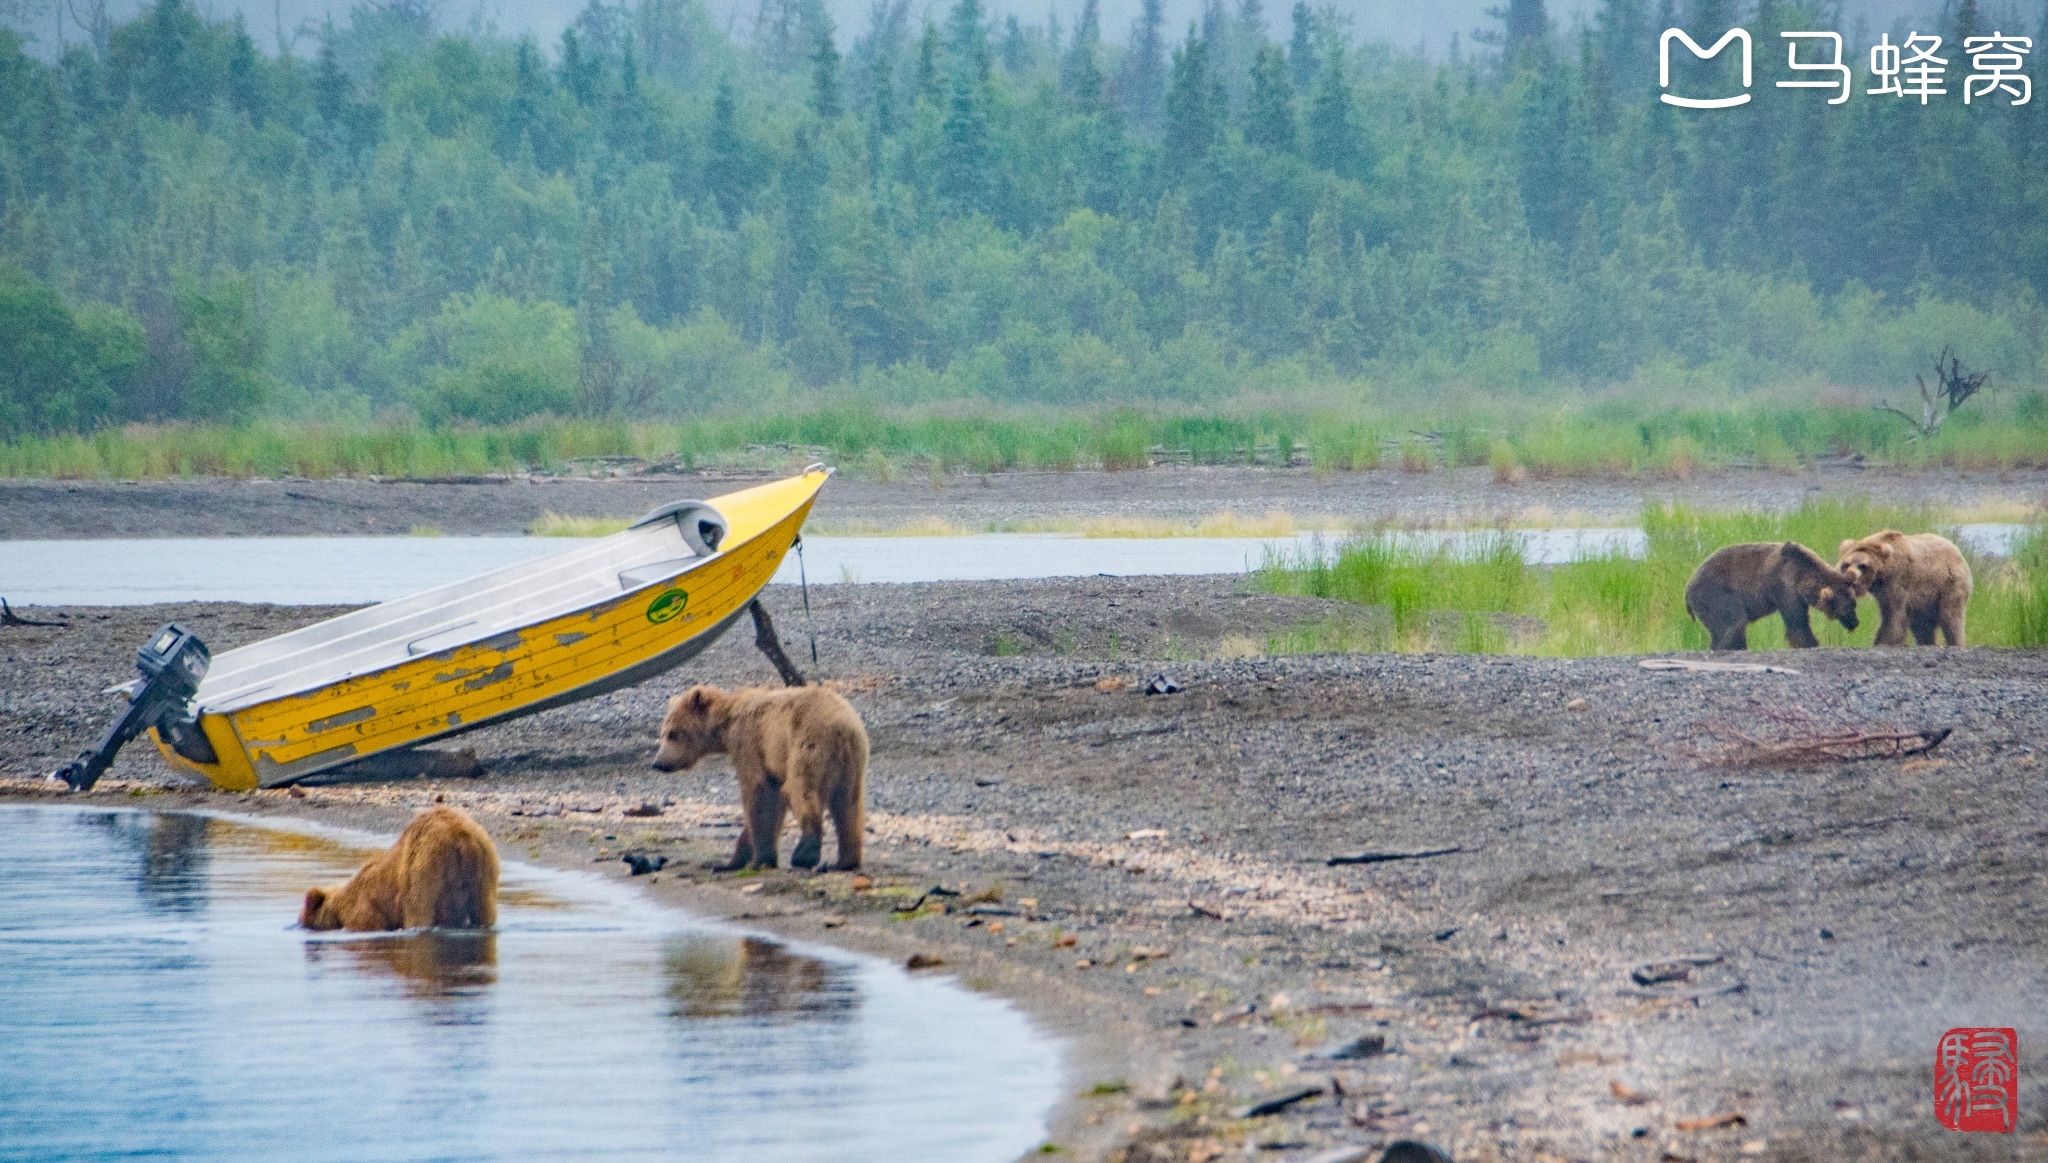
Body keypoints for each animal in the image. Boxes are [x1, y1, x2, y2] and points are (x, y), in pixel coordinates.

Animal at [299, 802, 499, 929]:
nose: (298, 923)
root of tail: (461, 837)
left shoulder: (364, 911)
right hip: (485, 866)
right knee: (485, 911)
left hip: (423, 869)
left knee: (418, 910)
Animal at [651, 679, 868, 872]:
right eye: (662, 733)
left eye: (672, 733)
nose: (658, 763)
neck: (727, 725)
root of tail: (842, 726)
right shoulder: (771, 760)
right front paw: (730, 862)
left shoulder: (750, 742)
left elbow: (759, 794)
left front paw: (759, 860)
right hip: (851, 762)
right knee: (848, 804)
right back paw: (846, 861)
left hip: (807, 744)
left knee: (802, 789)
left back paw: (805, 853)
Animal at [1687, 540, 1867, 651]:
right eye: (1848, 606)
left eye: (1854, 604)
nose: (1855, 622)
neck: (1804, 575)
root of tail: (1687, 589)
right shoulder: (1785, 588)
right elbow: (1797, 623)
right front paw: (1811, 643)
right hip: (1716, 594)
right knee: (1733, 623)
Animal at [1835, 532, 1974, 651]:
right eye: (1846, 564)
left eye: (1863, 566)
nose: (1851, 577)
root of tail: (1957, 550)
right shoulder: (1882, 592)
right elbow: (1887, 613)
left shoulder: (1898, 581)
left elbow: (1894, 615)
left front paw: (1885, 641)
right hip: (1925, 600)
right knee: (1922, 626)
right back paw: (1927, 642)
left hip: (1948, 584)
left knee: (1951, 617)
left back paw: (1955, 642)